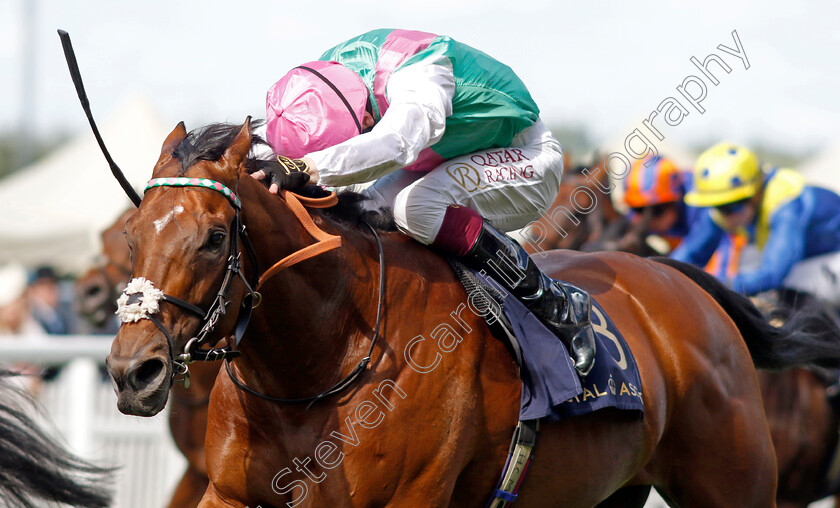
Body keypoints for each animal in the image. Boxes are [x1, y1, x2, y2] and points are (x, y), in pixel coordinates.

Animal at [108, 120, 840, 508]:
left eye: (213, 237)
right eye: (131, 233)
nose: (132, 372)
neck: (315, 364)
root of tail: (677, 281)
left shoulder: (408, 498)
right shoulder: (228, 489)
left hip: (738, 483)